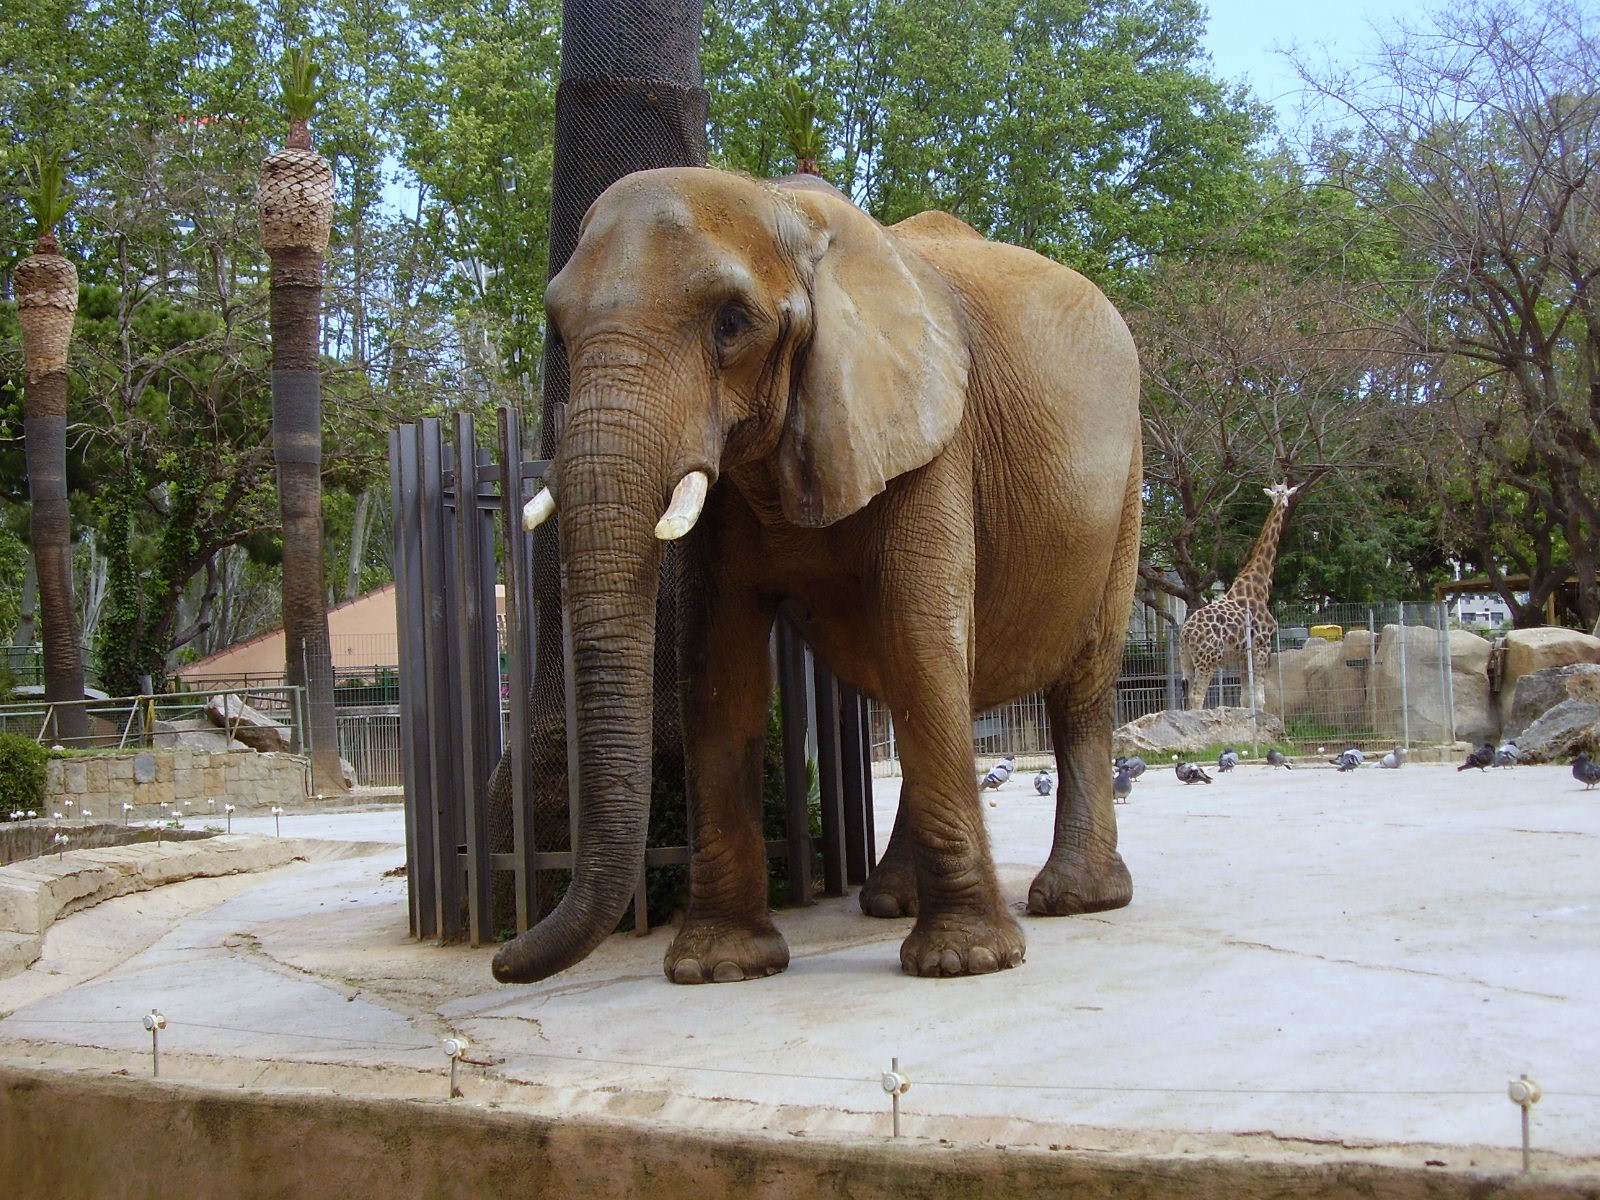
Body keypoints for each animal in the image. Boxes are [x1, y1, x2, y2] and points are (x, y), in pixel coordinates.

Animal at [492, 166, 1142, 986]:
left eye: (732, 323)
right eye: (558, 331)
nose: (501, 961)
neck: (782, 205)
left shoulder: (934, 438)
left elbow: (918, 635)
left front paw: (964, 962)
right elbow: (719, 667)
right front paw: (719, 969)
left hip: (1124, 490)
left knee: (1077, 682)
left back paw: (1075, 899)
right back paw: (891, 899)